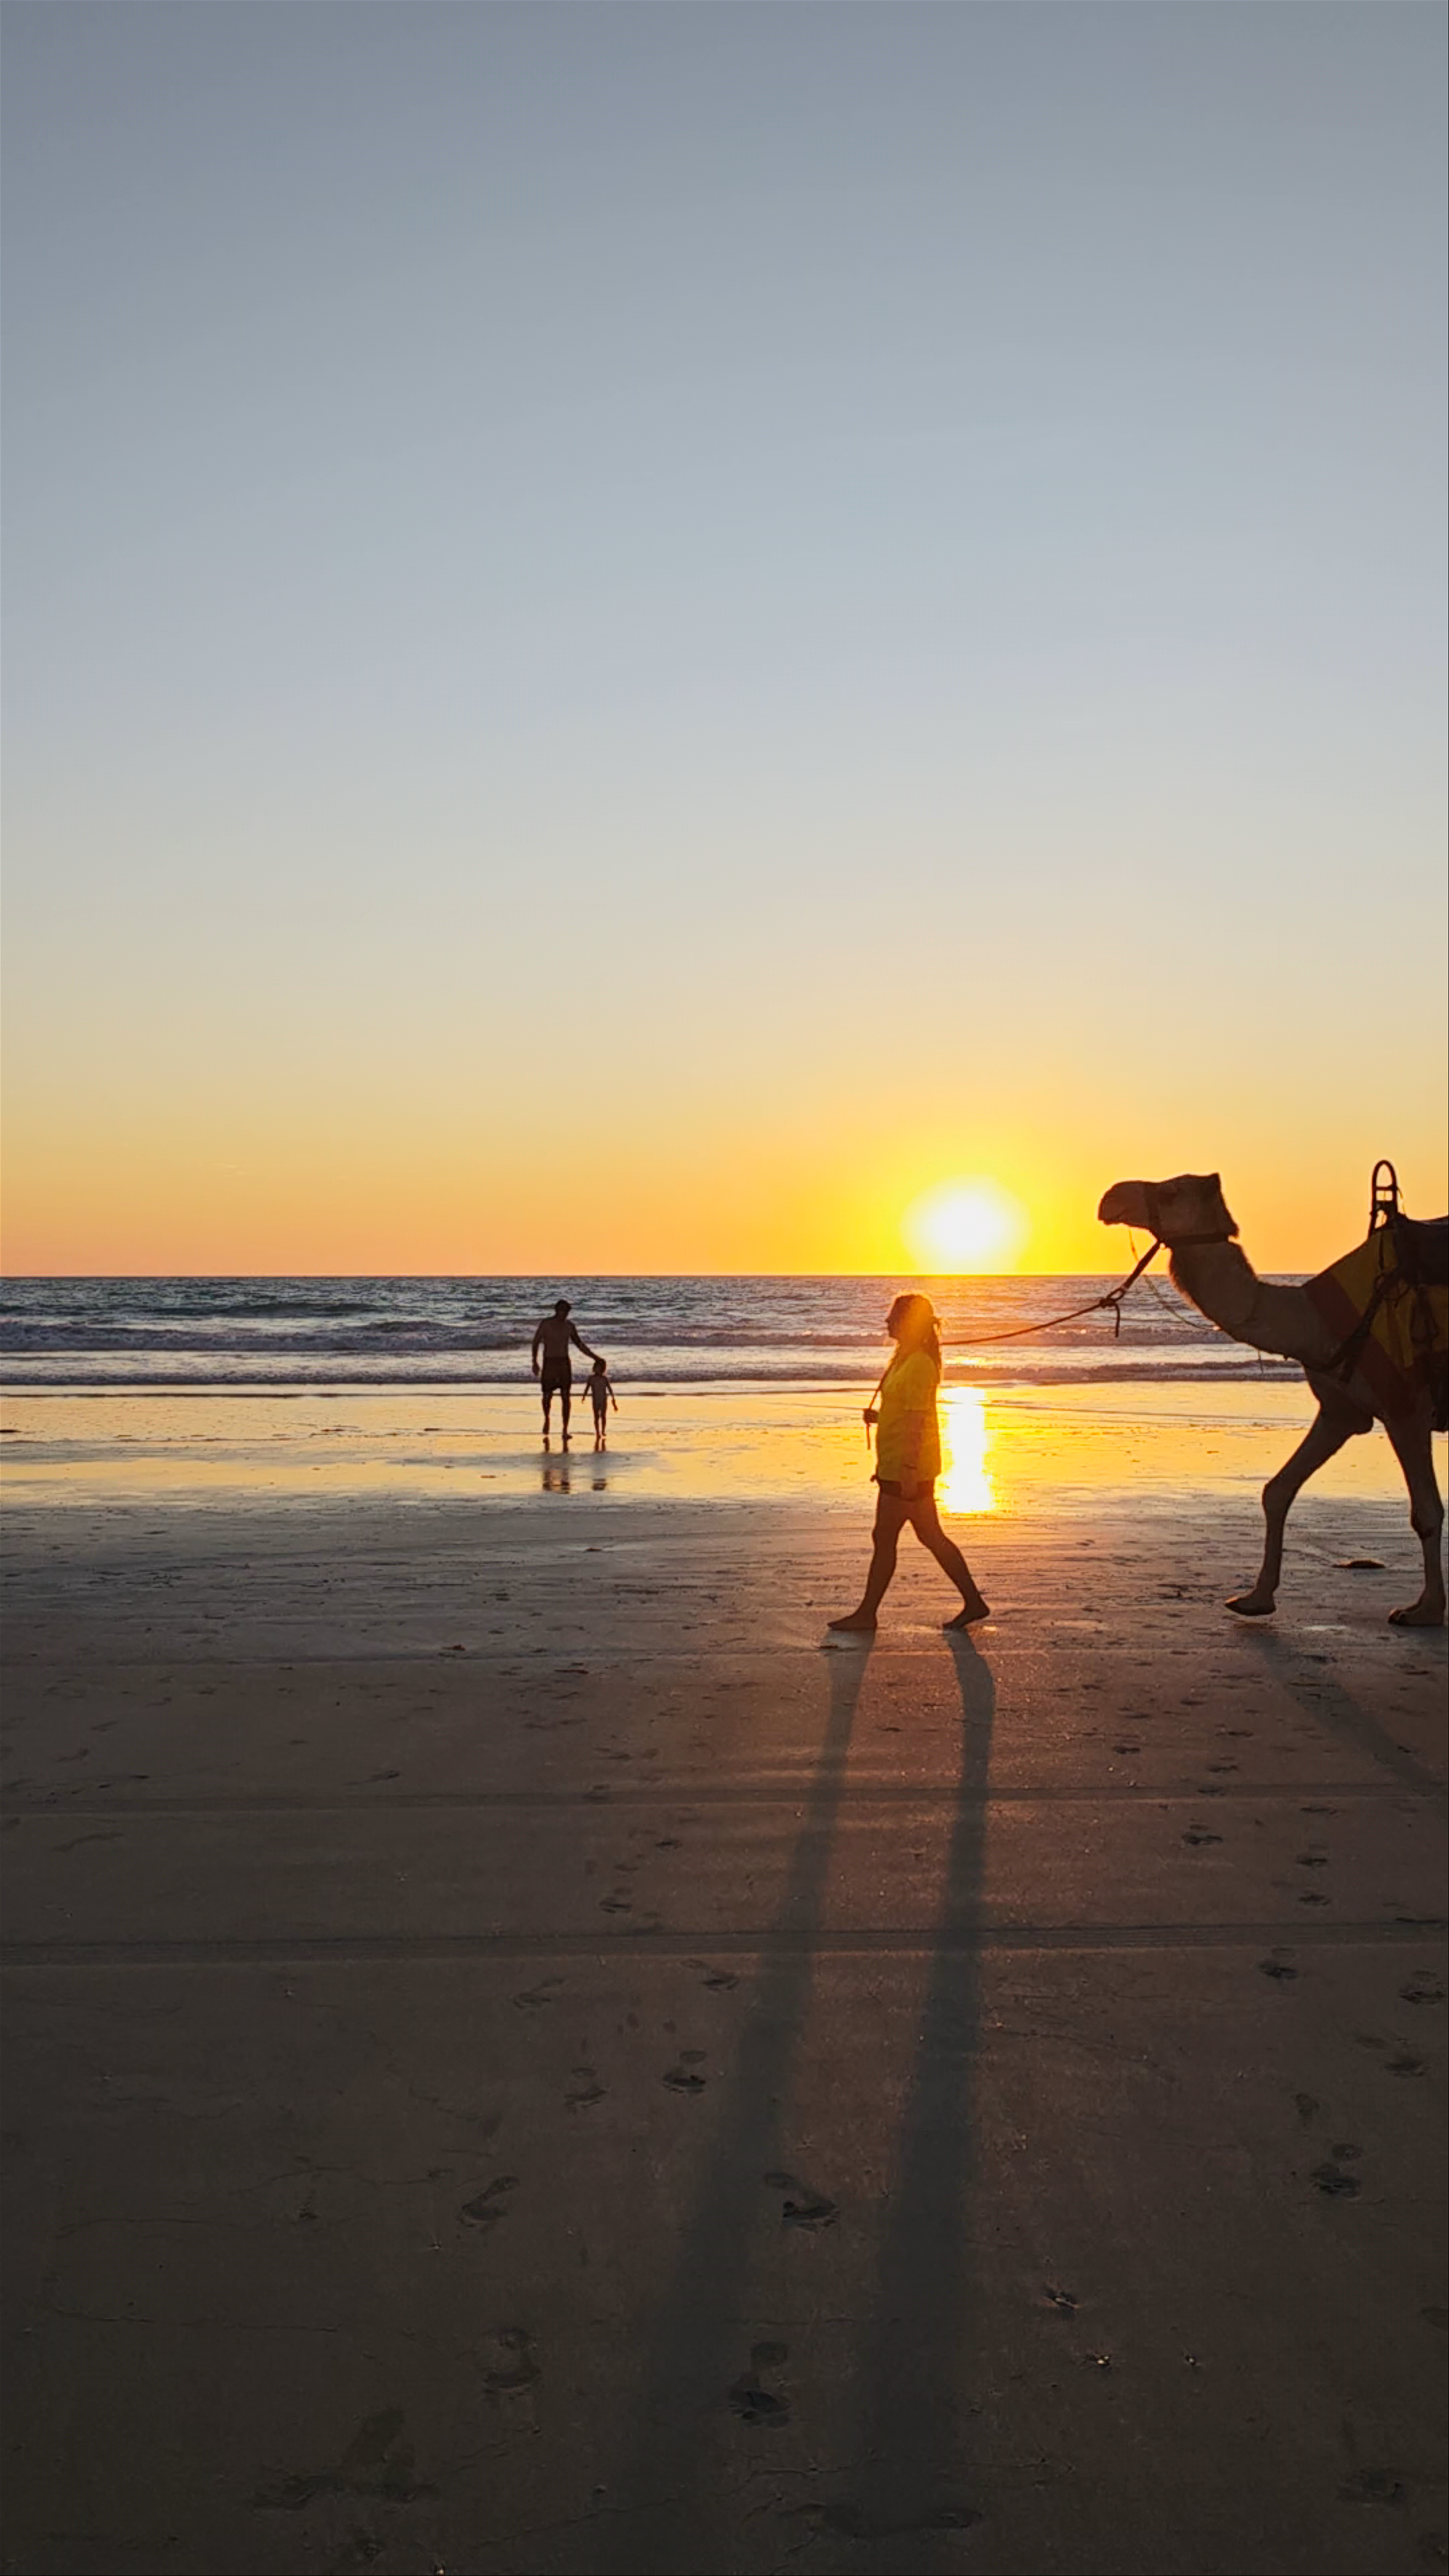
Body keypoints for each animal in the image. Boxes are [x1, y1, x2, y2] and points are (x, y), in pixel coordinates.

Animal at [1098, 1173, 1447, 1626]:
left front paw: (1426, 1609)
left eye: (1172, 1191)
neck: (1313, 1322)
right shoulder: (1341, 1411)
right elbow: (1278, 1489)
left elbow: (1427, 1511)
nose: (1110, 1198)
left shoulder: (1406, 1407)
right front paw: (1255, 1597)